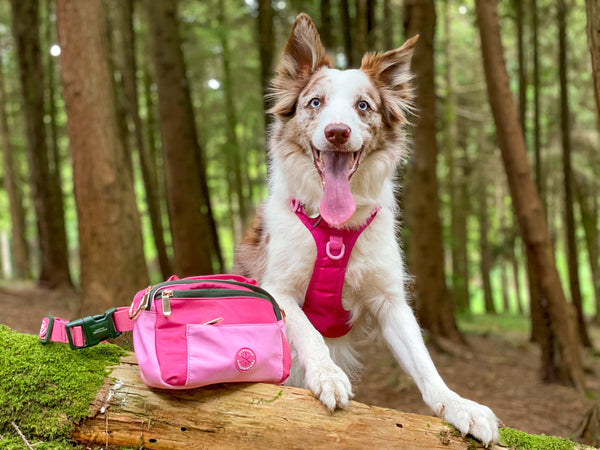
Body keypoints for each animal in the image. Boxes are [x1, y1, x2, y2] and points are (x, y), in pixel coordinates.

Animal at [234, 14, 502, 446]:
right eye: (315, 103)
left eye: (363, 106)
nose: (337, 132)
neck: (334, 228)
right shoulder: (277, 288)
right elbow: (309, 332)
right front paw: (327, 375)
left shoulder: (390, 300)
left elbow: (425, 363)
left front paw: (459, 405)